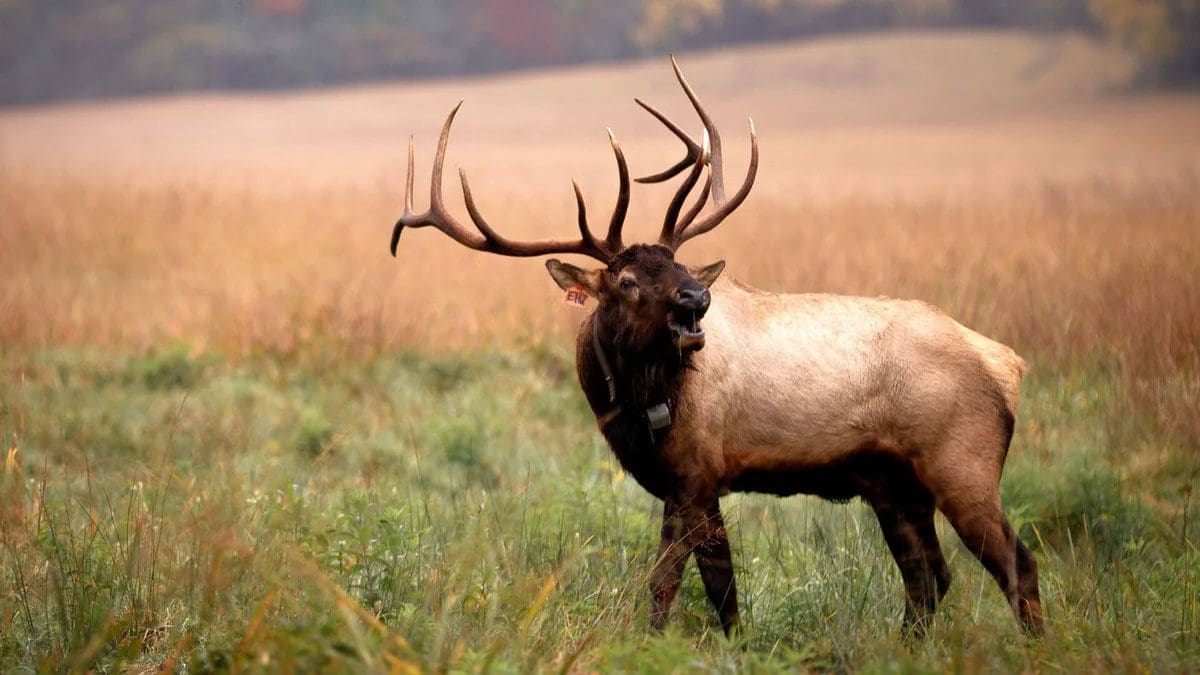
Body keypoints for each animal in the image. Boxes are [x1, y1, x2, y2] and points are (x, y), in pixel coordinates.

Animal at [391, 55, 1041, 634]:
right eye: (626, 281)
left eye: (678, 264)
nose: (696, 298)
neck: (633, 408)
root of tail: (1009, 364)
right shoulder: (696, 483)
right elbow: (720, 585)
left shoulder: (696, 472)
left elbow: (668, 583)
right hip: (894, 485)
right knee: (928, 578)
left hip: (961, 462)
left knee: (1016, 565)